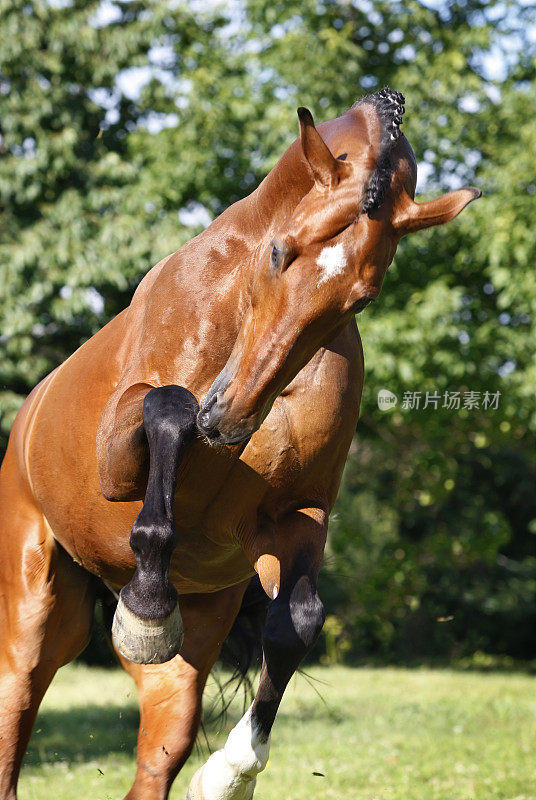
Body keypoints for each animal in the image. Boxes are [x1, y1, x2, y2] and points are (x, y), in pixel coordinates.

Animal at [0, 87, 478, 800]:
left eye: (362, 296)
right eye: (279, 252)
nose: (228, 420)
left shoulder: (295, 516)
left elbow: (297, 622)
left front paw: (230, 773)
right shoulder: (119, 459)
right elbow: (169, 406)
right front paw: (147, 604)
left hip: (181, 659)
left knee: (156, 757)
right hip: (34, 622)